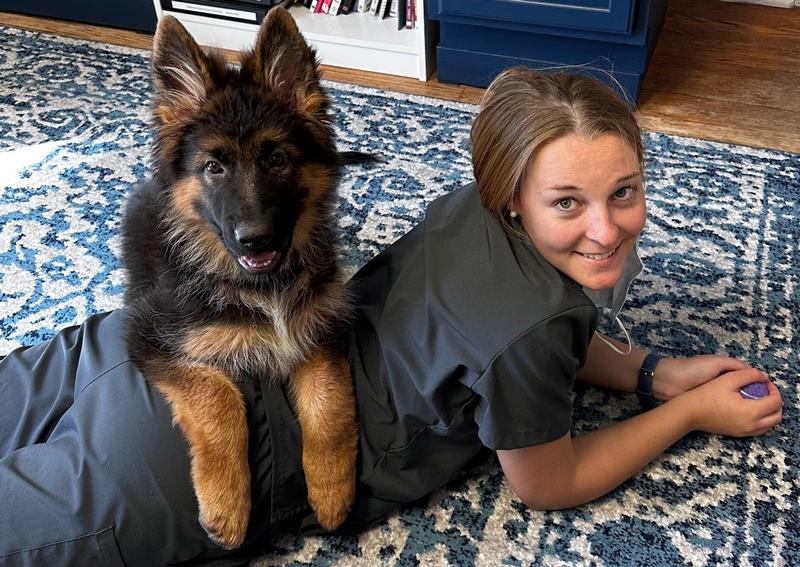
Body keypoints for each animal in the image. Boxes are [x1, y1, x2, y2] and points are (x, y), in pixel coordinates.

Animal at [121, 8, 360, 552]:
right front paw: (226, 505)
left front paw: (332, 488)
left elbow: (329, 403)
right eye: (213, 167)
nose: (256, 241)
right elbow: (219, 396)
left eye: (277, 159)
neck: (259, 287)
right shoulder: (148, 336)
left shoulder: (320, 327)